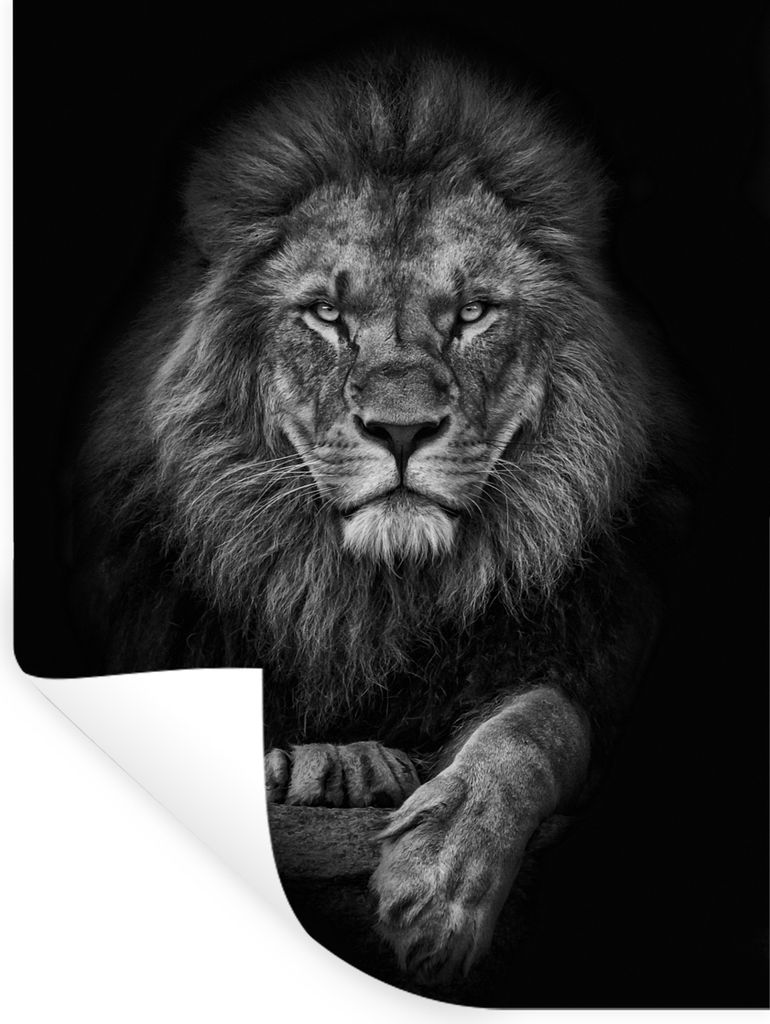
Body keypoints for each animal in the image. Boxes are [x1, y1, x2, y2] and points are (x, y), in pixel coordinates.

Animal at [72, 48, 692, 988]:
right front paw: (331, 762)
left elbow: (538, 726)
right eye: (328, 315)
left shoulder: (584, 650)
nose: (401, 430)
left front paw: (441, 881)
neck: (370, 597)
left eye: (472, 312)